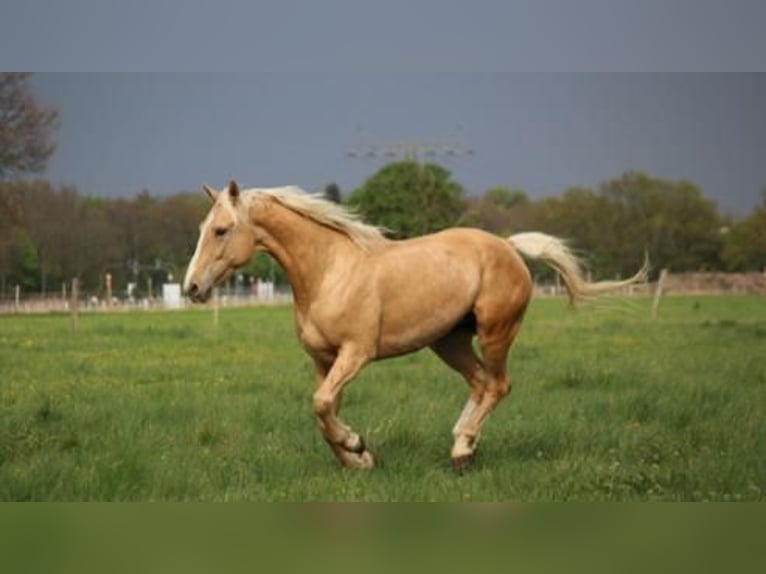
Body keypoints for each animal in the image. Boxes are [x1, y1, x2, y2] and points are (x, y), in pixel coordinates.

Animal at [186, 181, 648, 472]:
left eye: (222, 230)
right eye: (202, 228)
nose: (192, 287)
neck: (329, 271)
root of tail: (509, 246)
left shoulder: (356, 354)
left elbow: (321, 406)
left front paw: (356, 448)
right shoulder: (324, 360)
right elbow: (323, 411)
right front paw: (359, 459)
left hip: (496, 333)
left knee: (499, 385)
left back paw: (462, 451)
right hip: (449, 342)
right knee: (481, 383)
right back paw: (462, 446)